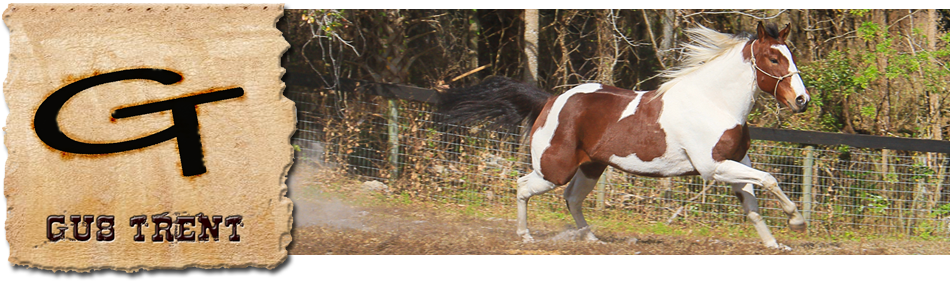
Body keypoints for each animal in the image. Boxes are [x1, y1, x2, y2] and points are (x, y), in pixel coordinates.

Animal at [438, 22, 812, 249]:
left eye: (790, 55)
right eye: (773, 58)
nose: (802, 100)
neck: (714, 102)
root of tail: (550, 99)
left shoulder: (736, 163)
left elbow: (753, 204)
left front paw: (775, 244)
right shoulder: (713, 168)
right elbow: (770, 180)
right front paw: (797, 222)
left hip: (592, 167)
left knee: (572, 199)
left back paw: (592, 240)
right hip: (555, 169)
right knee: (523, 186)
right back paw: (526, 235)